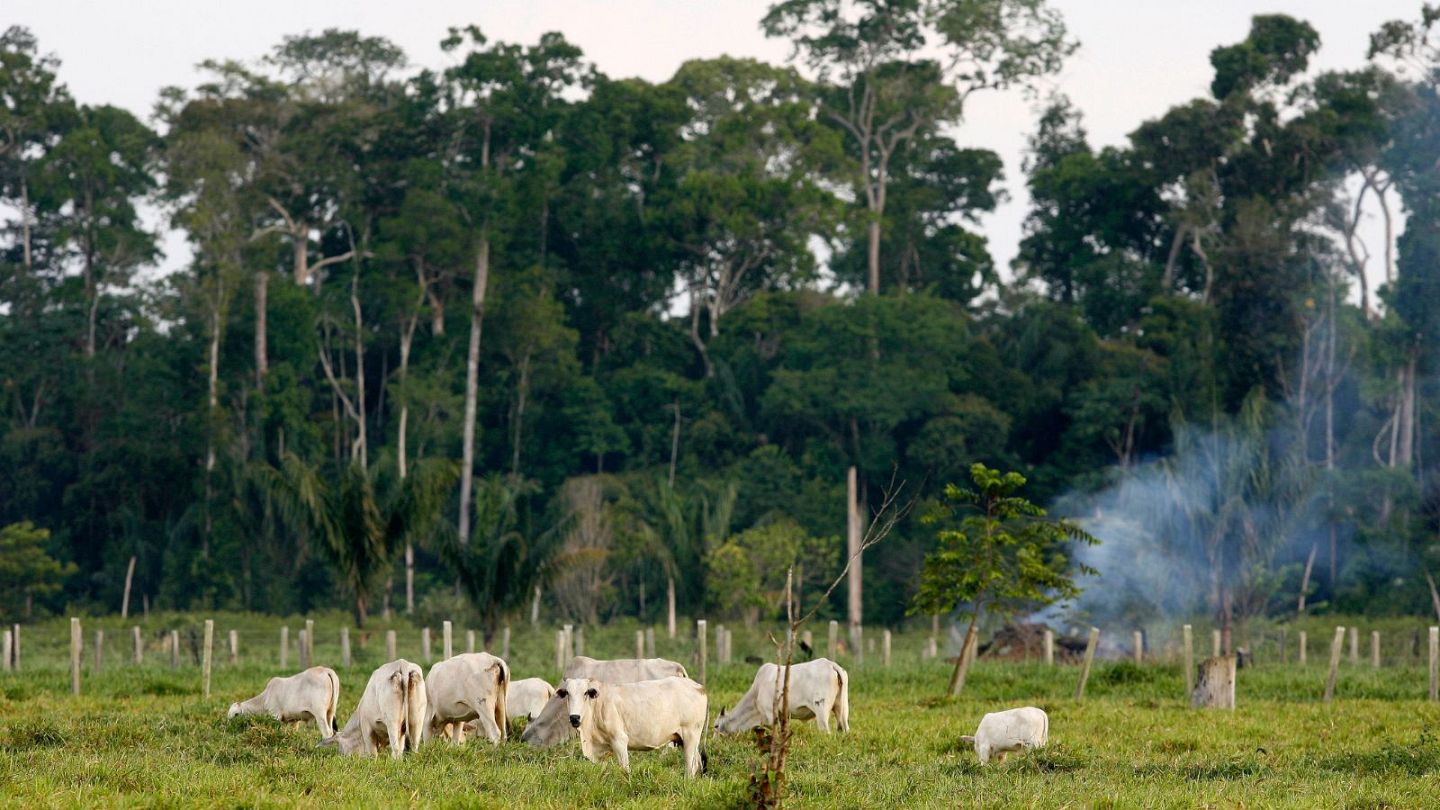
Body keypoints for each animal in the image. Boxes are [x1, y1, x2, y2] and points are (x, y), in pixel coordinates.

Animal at [552, 674, 705, 778]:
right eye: (567, 693)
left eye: (585, 693)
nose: (574, 717)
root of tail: (698, 687)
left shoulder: (619, 740)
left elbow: (625, 769)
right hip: (685, 740)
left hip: (690, 736)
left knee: (691, 767)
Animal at [714, 657, 846, 732]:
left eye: (716, 726)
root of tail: (831, 664)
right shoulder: (784, 715)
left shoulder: (770, 714)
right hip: (842, 709)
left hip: (821, 710)